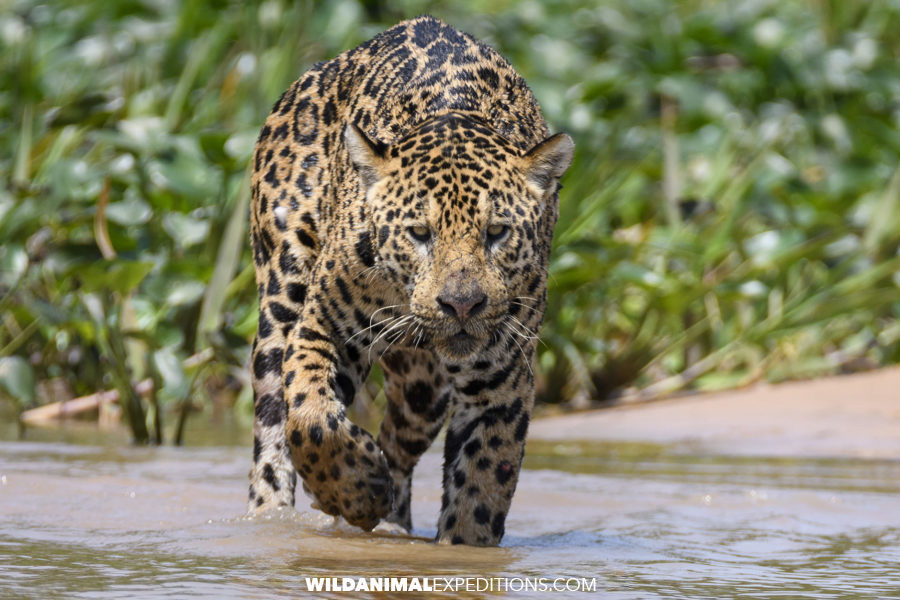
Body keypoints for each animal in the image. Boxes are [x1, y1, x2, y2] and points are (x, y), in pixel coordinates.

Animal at [246, 15, 573, 546]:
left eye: (496, 232)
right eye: (420, 233)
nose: (462, 305)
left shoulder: (500, 383)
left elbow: (482, 486)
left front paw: (454, 545)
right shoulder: (324, 329)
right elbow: (310, 417)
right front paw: (355, 491)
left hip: (426, 390)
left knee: (399, 442)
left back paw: (392, 520)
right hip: (280, 296)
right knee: (275, 414)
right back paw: (273, 513)